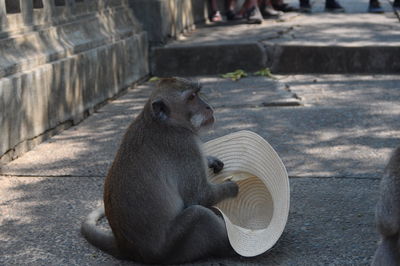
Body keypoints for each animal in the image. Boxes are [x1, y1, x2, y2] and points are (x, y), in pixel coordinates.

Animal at [81, 77, 238, 264]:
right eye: (192, 97)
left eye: (197, 94)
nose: (207, 107)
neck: (166, 122)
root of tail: (126, 248)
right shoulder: (185, 145)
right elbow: (200, 196)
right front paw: (234, 187)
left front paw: (211, 160)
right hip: (174, 247)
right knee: (199, 214)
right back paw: (232, 247)